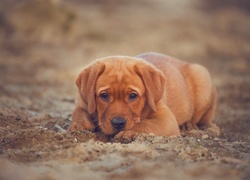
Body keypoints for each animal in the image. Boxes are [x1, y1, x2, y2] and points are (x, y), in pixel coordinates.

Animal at [68, 52, 217, 142]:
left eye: (133, 96)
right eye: (104, 95)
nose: (118, 123)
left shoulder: (166, 120)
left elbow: (146, 124)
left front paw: (128, 132)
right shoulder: (82, 101)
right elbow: (77, 112)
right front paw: (80, 125)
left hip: (202, 75)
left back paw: (188, 124)